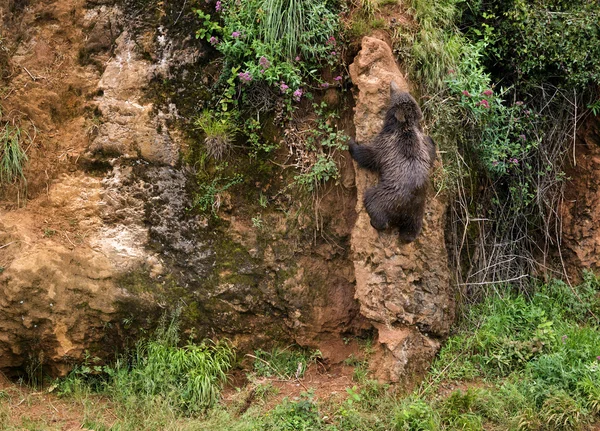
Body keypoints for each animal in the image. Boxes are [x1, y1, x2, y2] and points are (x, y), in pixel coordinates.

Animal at [346, 81, 436, 243]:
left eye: (395, 94)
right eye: (404, 91)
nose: (391, 84)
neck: (404, 127)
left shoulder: (384, 145)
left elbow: (368, 155)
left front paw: (351, 142)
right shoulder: (425, 146)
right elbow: (431, 147)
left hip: (386, 197)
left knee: (373, 203)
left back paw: (375, 222)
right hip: (418, 211)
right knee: (412, 229)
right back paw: (408, 236)